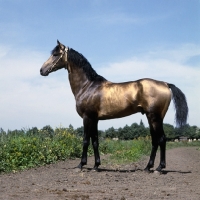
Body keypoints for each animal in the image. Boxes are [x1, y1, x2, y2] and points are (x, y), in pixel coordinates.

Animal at [39, 40, 188, 172]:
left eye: (56, 54)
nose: (42, 70)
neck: (88, 86)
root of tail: (165, 84)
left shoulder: (87, 117)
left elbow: (85, 140)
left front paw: (81, 165)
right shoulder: (95, 119)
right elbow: (95, 141)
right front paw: (96, 166)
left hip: (155, 118)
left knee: (161, 139)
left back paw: (159, 168)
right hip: (152, 118)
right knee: (155, 140)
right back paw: (147, 167)